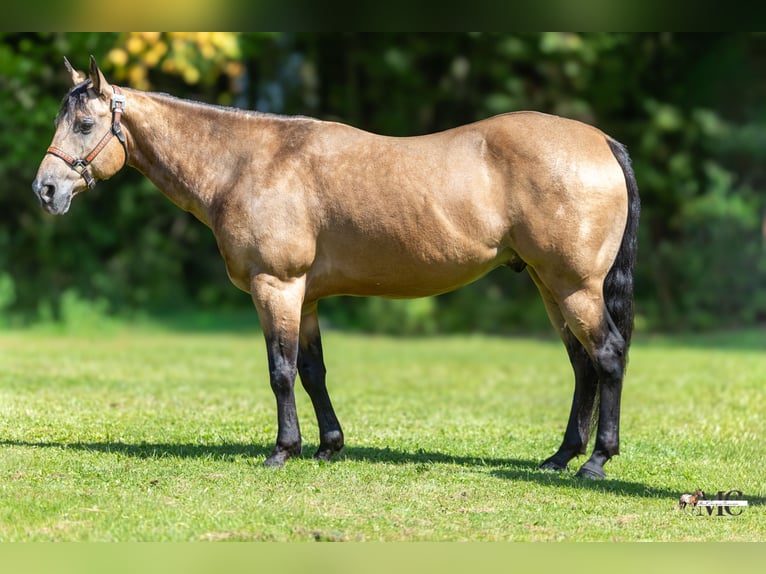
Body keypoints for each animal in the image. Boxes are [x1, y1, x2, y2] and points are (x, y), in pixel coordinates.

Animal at [32, 57, 639, 479]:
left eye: (83, 124)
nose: (46, 190)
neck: (247, 163)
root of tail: (601, 141)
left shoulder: (275, 287)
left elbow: (280, 371)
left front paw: (283, 450)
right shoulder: (307, 296)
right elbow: (312, 370)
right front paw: (328, 446)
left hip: (574, 286)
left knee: (607, 356)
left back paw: (595, 462)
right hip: (549, 285)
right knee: (583, 365)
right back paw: (560, 457)